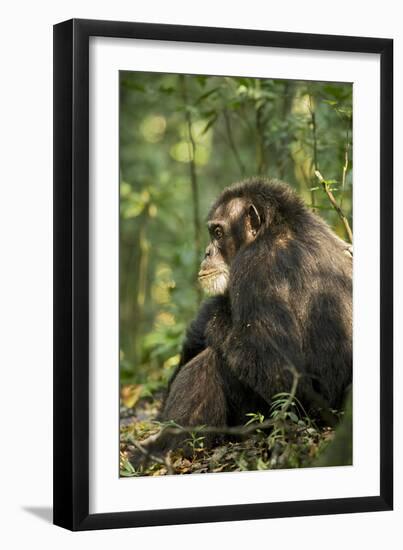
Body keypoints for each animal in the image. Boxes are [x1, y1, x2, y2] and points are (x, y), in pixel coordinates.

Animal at [144, 180, 350, 458]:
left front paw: (212, 318)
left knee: (214, 359)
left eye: (218, 233)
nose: (207, 252)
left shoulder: (255, 269)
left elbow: (279, 372)